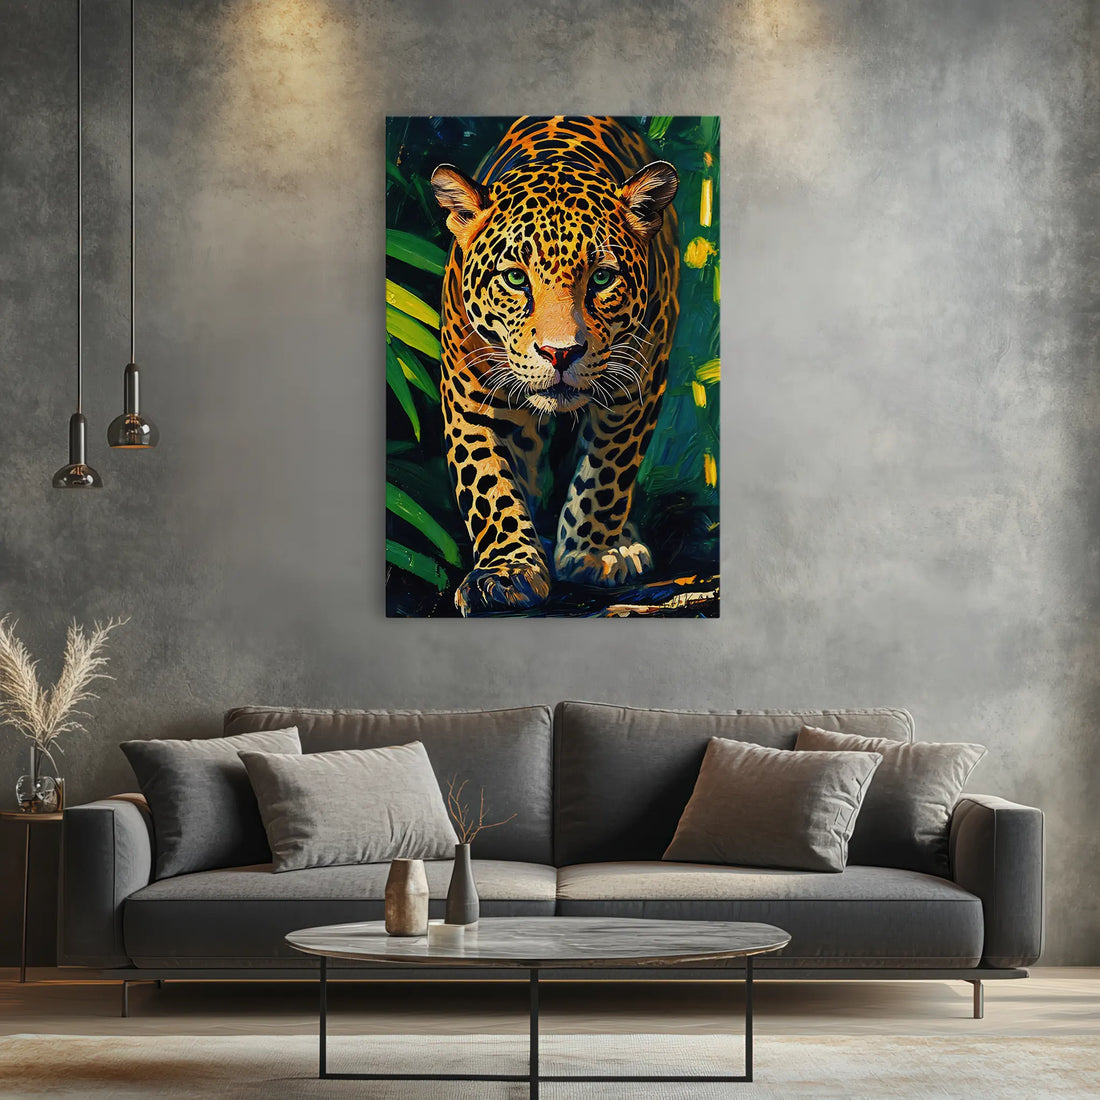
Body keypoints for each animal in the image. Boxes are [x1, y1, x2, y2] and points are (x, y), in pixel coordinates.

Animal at [430, 115, 680, 616]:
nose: (560, 353)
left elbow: (607, 472)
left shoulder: (637, 386)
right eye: (514, 278)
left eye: (601, 278)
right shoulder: (468, 395)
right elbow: (488, 482)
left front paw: (589, 554)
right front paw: (507, 572)